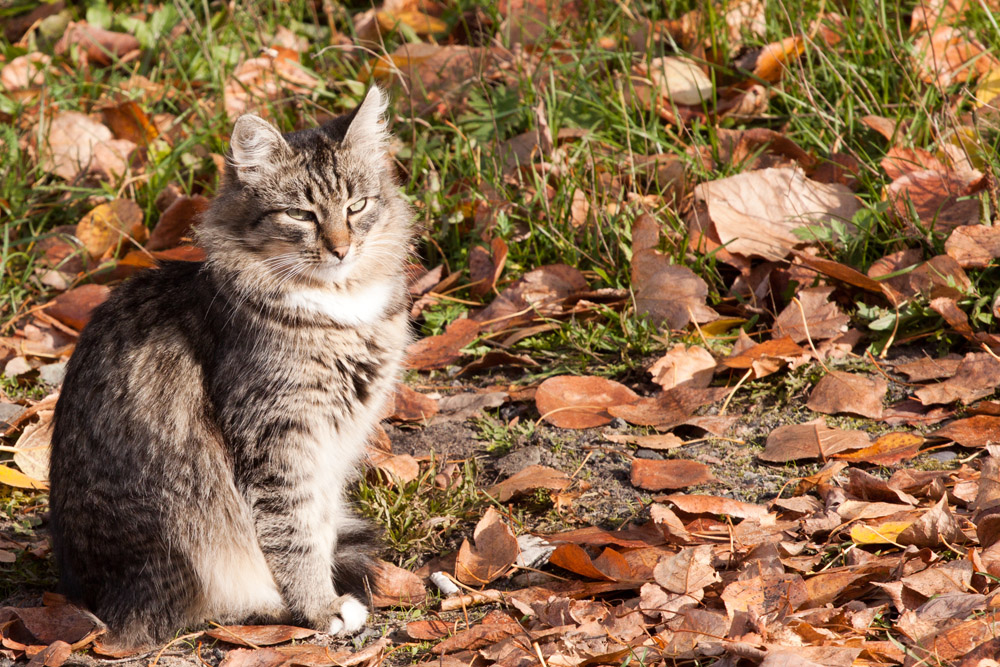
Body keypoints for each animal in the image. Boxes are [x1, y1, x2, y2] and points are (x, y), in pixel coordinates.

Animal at [47, 86, 410, 648]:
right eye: (301, 215)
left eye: (358, 206)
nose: (341, 248)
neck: (340, 309)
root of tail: (84, 592)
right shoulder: (279, 438)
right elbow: (295, 535)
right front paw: (319, 607)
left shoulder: (332, 446)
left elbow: (320, 525)